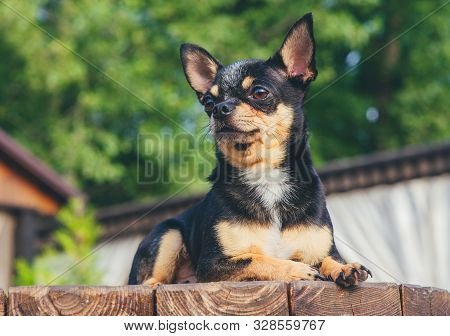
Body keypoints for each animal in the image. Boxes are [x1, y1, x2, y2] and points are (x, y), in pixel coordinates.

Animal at [128, 12, 370, 286]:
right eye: (208, 101)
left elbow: (329, 260)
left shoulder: (322, 250)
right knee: (149, 281)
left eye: (259, 92)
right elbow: (258, 259)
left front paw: (345, 267)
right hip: (168, 232)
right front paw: (296, 269)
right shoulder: (213, 265)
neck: (265, 173)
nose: (219, 108)